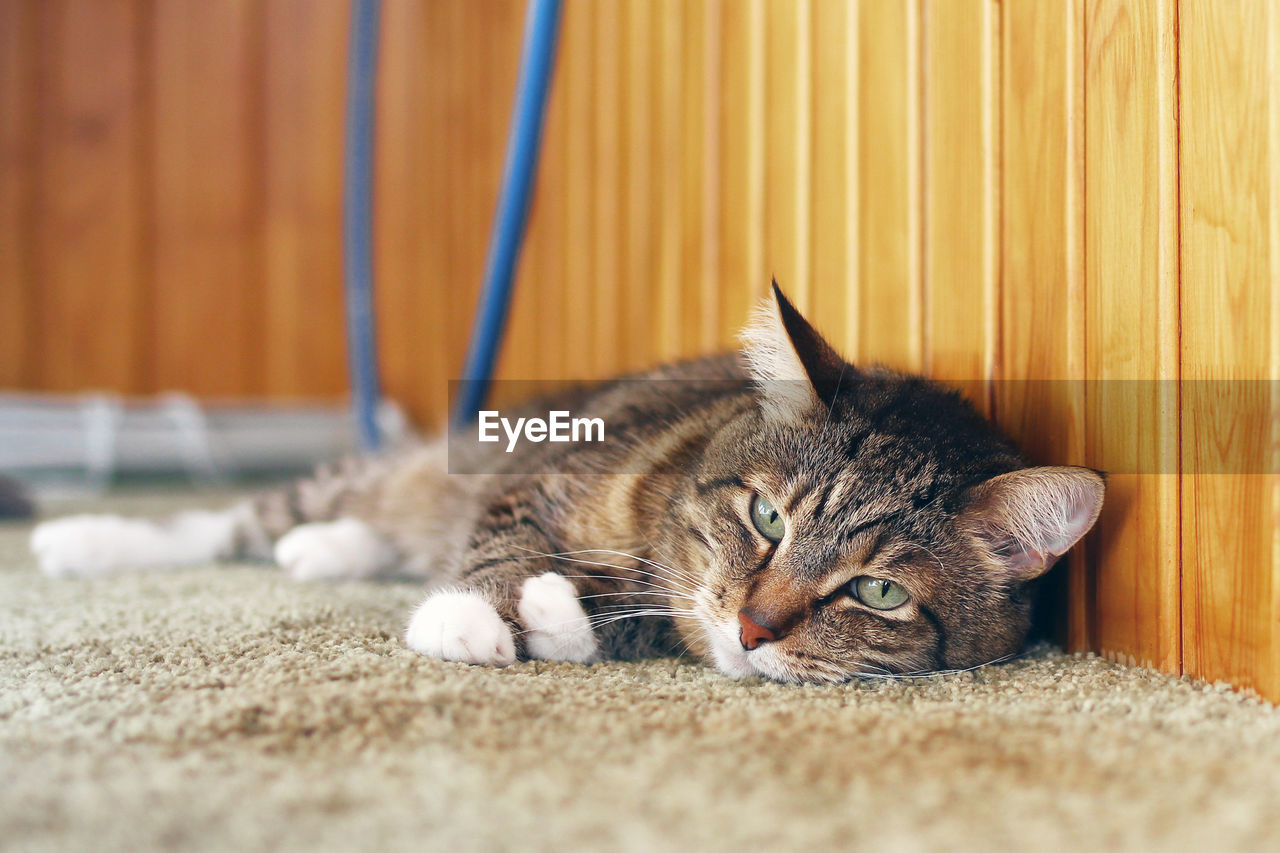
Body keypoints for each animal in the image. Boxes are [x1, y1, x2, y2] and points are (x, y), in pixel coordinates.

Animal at [35, 285, 1105, 686]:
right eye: (765, 515)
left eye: (878, 591)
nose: (754, 626)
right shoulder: (538, 478)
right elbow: (503, 541)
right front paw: (477, 613)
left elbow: (611, 615)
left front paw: (557, 616)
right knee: (237, 519)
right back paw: (84, 538)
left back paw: (331, 551)